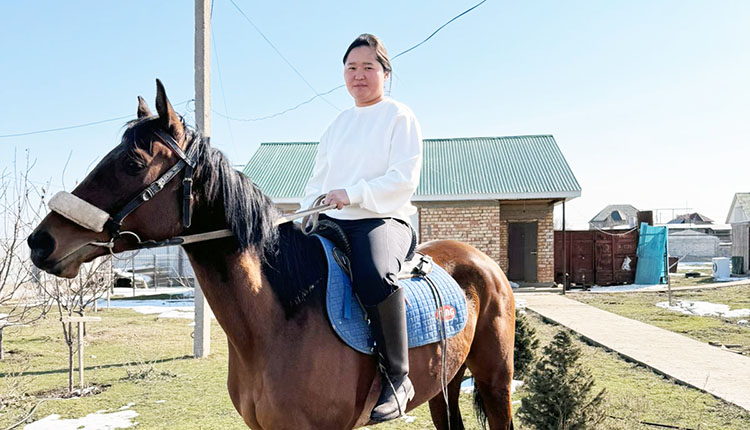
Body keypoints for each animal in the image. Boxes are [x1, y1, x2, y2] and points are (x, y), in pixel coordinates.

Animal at [27, 81, 516, 430]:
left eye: (131, 163)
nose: (40, 242)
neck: (277, 317)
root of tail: (481, 261)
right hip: (444, 386)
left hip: (496, 381)